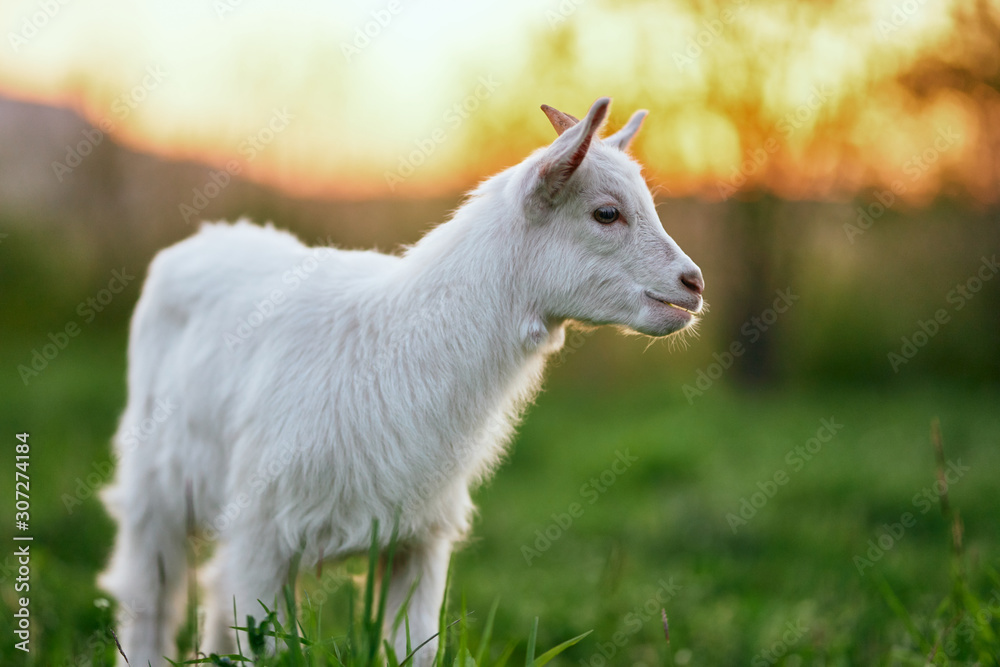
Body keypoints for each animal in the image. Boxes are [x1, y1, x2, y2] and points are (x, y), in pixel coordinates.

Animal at [98, 97, 704, 666]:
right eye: (606, 213)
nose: (694, 283)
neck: (395, 346)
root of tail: (207, 237)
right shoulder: (262, 534)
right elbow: (263, 643)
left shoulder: (419, 540)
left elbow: (413, 648)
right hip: (154, 482)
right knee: (151, 596)